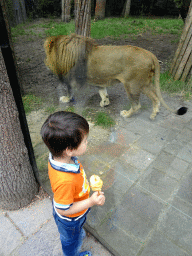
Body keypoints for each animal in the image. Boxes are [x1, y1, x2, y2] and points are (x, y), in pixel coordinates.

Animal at [44, 33, 187, 120]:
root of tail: (150, 54)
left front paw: (66, 99)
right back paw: (154, 114)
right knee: (155, 97)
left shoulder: (71, 79)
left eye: (47, 54)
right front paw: (105, 102)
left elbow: (70, 91)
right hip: (144, 83)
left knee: (137, 105)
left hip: (132, 84)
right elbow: (103, 92)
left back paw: (126, 114)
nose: (45, 62)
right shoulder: (99, 80)